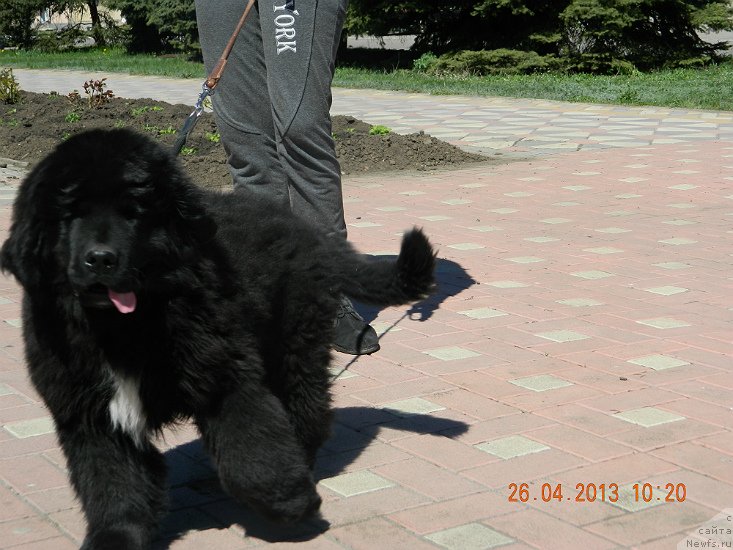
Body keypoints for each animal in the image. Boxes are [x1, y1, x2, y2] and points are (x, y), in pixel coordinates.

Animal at [0, 128, 434, 548]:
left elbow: (254, 453)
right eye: (70, 213)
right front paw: (116, 537)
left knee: (306, 411)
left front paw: (291, 503)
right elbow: (113, 482)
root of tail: (307, 231)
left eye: (133, 213)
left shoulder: (226, 378)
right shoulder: (92, 414)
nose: (101, 259)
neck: (125, 327)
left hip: (293, 344)